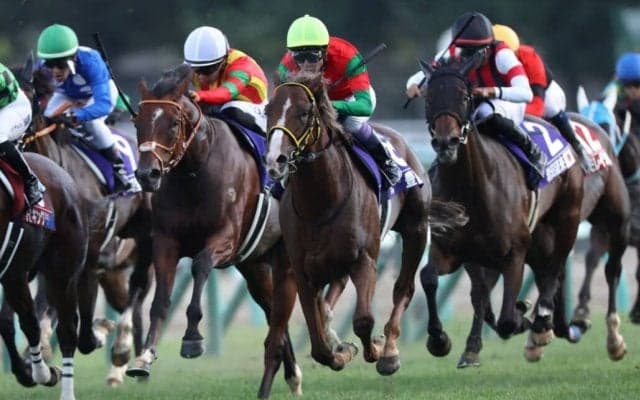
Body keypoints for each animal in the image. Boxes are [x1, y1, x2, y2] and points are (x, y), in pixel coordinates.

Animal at [9, 57, 154, 386]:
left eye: (30, 98)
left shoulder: (84, 254)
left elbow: (77, 323)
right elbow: (44, 307)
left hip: (145, 240)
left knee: (137, 289)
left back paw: (124, 352)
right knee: (127, 300)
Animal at [131, 64, 301, 398]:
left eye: (173, 123)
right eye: (137, 122)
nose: (148, 174)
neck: (194, 172)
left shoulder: (226, 237)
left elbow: (200, 265)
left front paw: (192, 338)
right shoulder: (166, 242)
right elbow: (160, 299)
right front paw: (144, 357)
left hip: (283, 259)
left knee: (281, 309)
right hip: (254, 266)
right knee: (273, 310)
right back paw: (292, 373)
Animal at [263, 71, 465, 398]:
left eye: (304, 113)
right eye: (269, 110)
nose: (275, 160)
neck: (321, 201)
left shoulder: (364, 260)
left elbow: (363, 321)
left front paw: (376, 350)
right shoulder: (303, 271)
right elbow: (318, 344)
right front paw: (340, 350)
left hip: (415, 230)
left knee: (403, 289)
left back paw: (392, 349)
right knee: (331, 300)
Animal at [420, 58, 586, 363]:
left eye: (464, 96)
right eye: (429, 97)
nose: (446, 143)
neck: (474, 188)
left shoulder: (514, 254)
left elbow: (507, 320)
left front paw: (524, 317)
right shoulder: (455, 250)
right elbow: (432, 279)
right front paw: (440, 339)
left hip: (567, 220)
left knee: (555, 268)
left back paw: (542, 321)